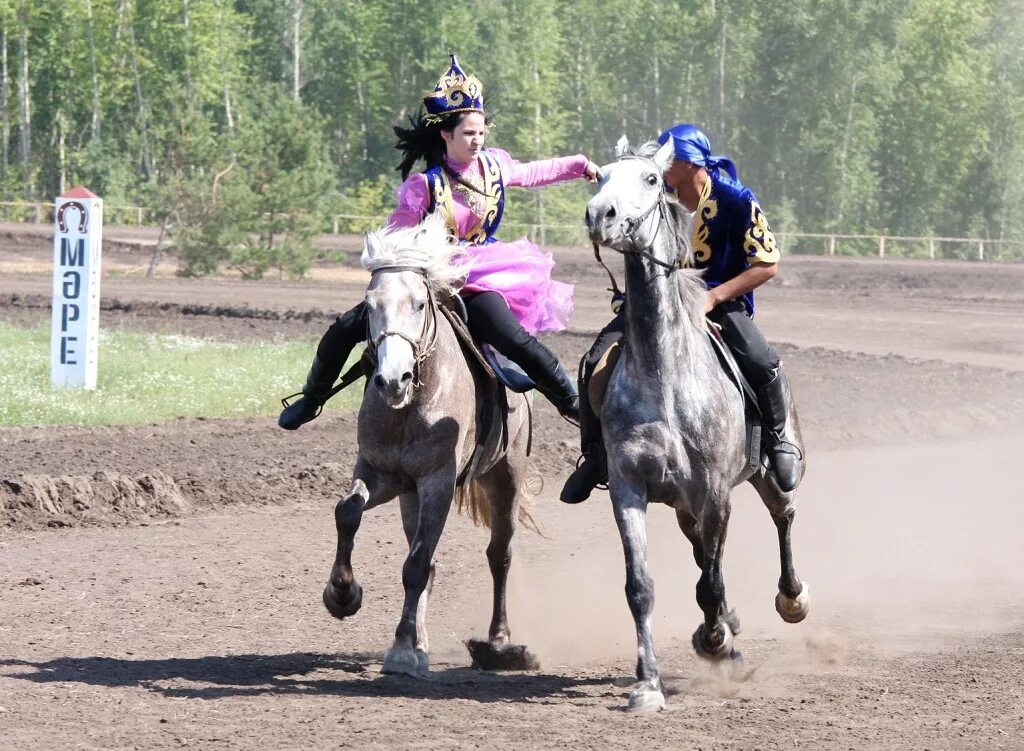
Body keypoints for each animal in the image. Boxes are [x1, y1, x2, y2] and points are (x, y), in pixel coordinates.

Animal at [323, 215, 540, 672]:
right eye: (369, 305)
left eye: (420, 304)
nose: (393, 378)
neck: (410, 405)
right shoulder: (381, 473)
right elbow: (348, 511)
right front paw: (343, 594)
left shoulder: (437, 481)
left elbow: (417, 565)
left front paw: (403, 651)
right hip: (411, 497)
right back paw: (423, 640)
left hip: (506, 478)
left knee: (499, 554)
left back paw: (498, 642)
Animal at [589, 139, 811, 708]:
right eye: (599, 176)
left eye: (650, 179)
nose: (600, 215)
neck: (664, 375)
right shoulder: (628, 487)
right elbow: (642, 587)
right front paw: (648, 683)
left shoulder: (715, 490)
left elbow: (708, 582)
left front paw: (715, 641)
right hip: (684, 502)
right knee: (700, 551)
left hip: (763, 475)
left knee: (783, 515)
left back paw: (790, 599)